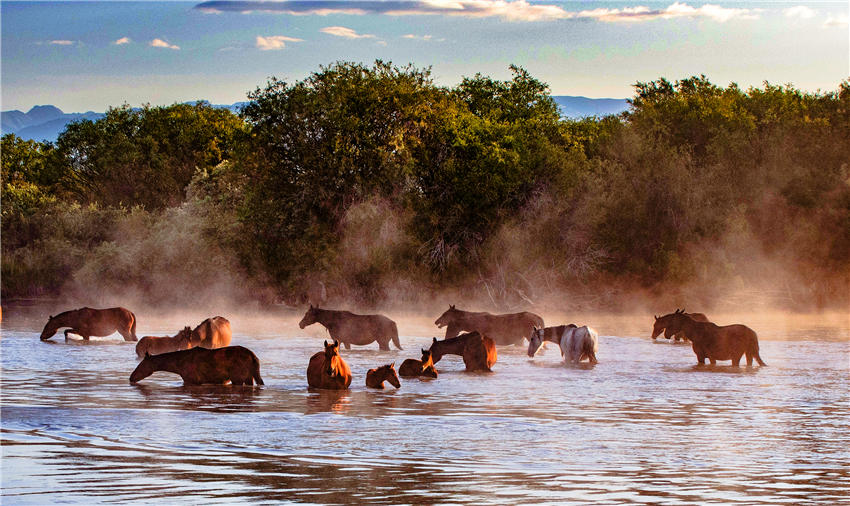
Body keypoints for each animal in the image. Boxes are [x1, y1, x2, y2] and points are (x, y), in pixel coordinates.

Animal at [127, 346, 262, 386]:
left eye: (141, 365)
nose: (131, 377)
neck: (177, 366)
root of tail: (253, 357)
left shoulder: (191, 380)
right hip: (249, 377)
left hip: (237, 378)